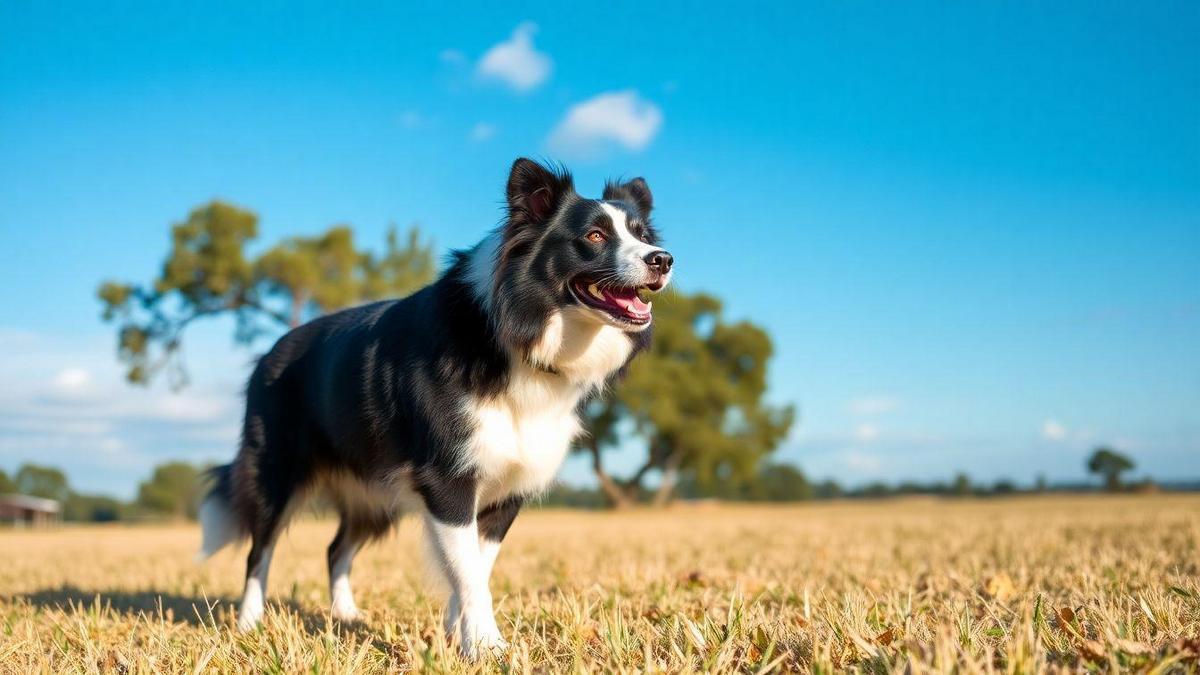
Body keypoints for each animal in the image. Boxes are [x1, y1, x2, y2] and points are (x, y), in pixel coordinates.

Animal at [192, 156, 672, 653]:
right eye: (594, 236)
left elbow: (476, 568)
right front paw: (487, 647)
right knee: (259, 549)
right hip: (276, 472)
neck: (519, 332)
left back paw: (345, 615)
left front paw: (456, 634)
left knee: (335, 548)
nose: (663, 259)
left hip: (371, 490)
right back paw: (249, 624)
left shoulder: (509, 484)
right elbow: (468, 572)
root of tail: (268, 355)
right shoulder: (448, 480)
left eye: (641, 234)